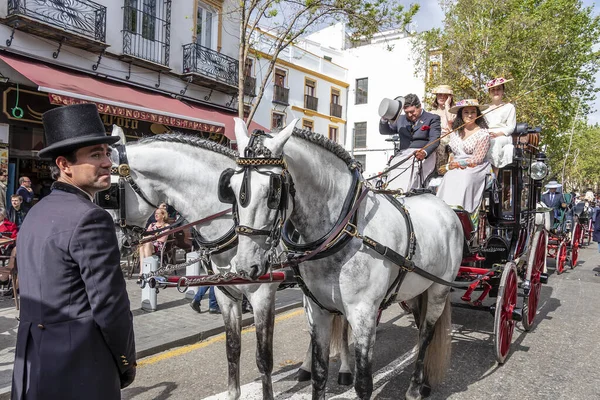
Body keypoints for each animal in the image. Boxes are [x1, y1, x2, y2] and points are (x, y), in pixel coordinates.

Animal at [108, 127, 352, 396]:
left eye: (109, 193)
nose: (116, 243)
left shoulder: (262, 295)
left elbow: (263, 359)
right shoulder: (225, 293)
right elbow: (232, 350)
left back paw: (345, 370)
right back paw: (306, 367)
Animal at [230, 119, 464, 400]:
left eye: (274, 191)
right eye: (230, 187)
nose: (245, 266)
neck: (345, 228)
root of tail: (443, 206)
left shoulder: (363, 315)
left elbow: (363, 384)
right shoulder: (317, 310)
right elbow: (319, 375)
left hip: (439, 289)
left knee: (428, 332)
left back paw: (415, 386)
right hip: (417, 289)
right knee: (420, 330)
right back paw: (425, 381)